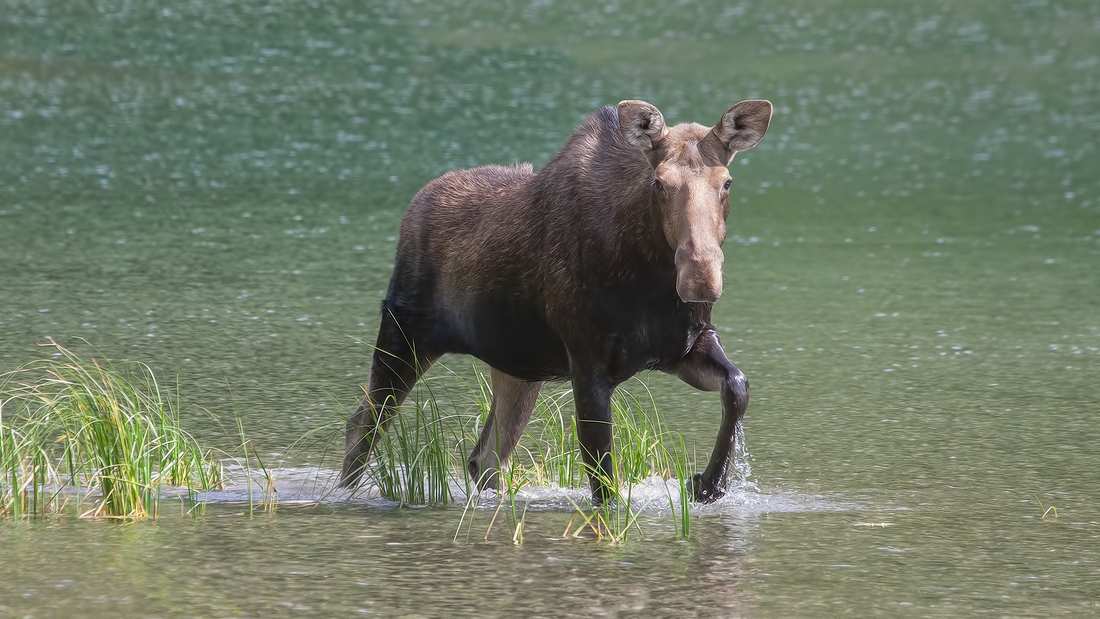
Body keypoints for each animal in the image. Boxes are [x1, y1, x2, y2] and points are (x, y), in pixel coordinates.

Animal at [338, 96, 770, 503]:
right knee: (362, 426)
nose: (700, 278)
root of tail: (413, 206)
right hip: (404, 335)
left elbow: (738, 386)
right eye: (659, 183)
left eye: (727, 182)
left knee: (485, 457)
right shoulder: (587, 361)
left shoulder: (683, 345)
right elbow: (603, 483)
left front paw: (709, 484)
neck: (649, 277)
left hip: (517, 366)